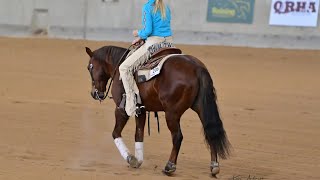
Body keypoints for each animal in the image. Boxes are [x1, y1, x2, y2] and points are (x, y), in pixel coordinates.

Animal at [84, 45, 230, 176]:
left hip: (172, 114)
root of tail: (196, 67)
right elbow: (139, 134)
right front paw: (138, 160)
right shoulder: (141, 111)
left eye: (90, 67)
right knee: (210, 132)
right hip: (201, 108)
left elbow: (115, 133)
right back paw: (214, 166)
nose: (94, 93)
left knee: (177, 137)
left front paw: (131, 159)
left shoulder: (122, 109)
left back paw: (169, 167)